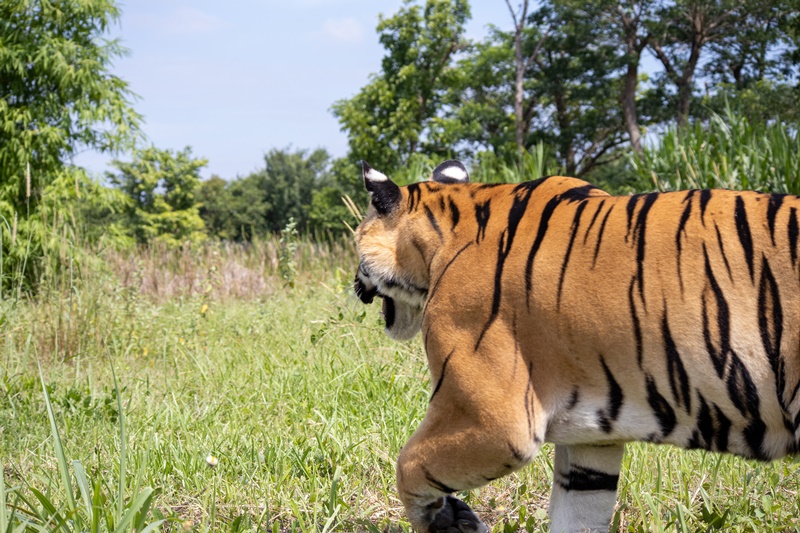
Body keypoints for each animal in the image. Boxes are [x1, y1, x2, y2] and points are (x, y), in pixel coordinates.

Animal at [354, 159, 800, 532]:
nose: (356, 284)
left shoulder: (492, 419)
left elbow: (409, 464)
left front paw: (448, 520)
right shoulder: (591, 434)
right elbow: (579, 512)